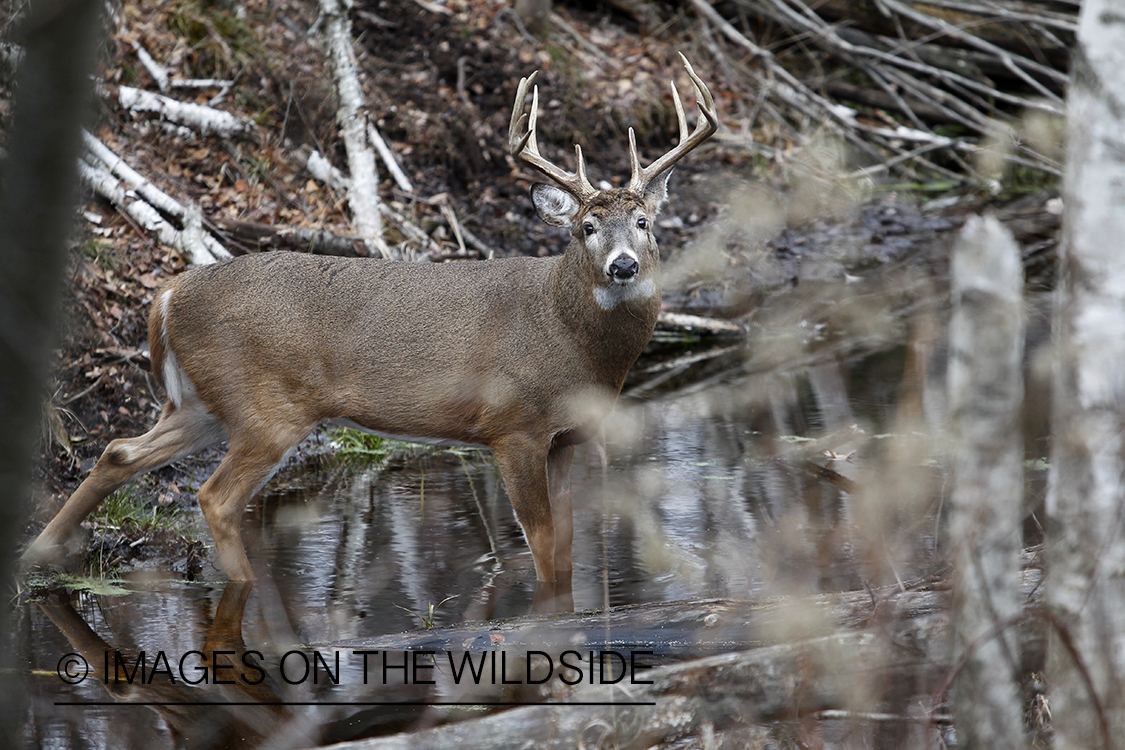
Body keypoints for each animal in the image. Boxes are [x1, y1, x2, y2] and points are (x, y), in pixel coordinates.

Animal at [21, 55, 715, 602]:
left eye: (645, 222)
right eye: (585, 228)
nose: (623, 264)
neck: (569, 338)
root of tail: (166, 296)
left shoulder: (567, 435)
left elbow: (566, 549)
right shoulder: (512, 425)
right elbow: (544, 547)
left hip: (203, 401)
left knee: (119, 451)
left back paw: (37, 555)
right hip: (266, 405)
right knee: (214, 497)